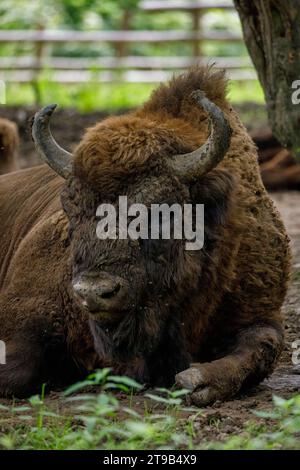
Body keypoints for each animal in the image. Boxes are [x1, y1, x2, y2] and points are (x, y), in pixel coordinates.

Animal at [0, 68, 290, 406]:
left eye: (160, 212)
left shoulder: (260, 314)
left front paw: (197, 380)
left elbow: (261, 349)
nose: (94, 292)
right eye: (72, 211)